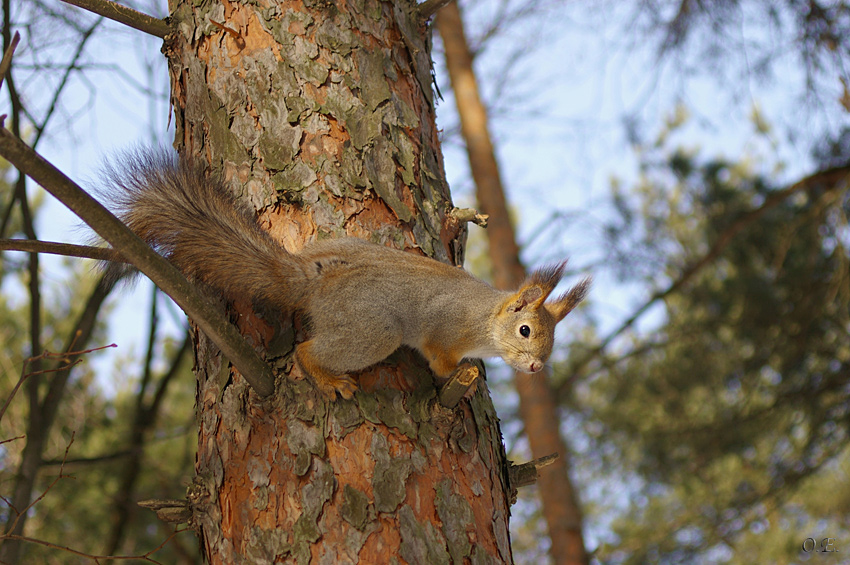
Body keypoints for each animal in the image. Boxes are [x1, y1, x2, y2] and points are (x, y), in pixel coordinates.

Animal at [102, 149, 588, 396]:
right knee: (308, 350)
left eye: (553, 338)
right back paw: (328, 378)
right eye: (525, 330)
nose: (536, 367)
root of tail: (315, 280)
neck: (484, 321)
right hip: (374, 330)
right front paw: (456, 374)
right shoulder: (444, 327)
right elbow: (440, 357)